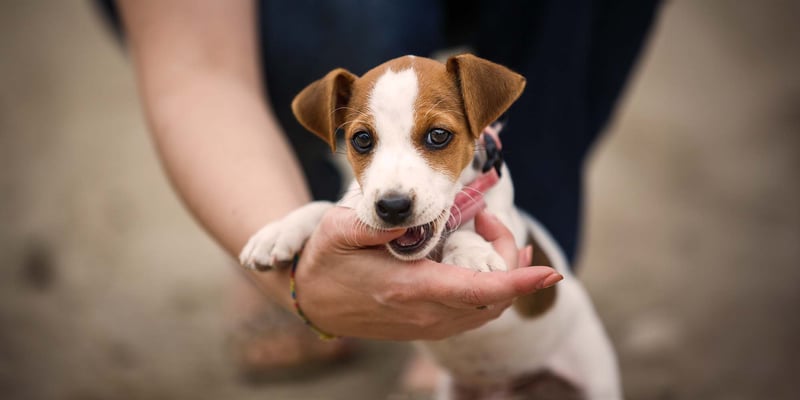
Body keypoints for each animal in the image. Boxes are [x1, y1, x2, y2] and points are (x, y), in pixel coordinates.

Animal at [241, 54, 620, 400]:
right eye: (361, 139)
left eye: (438, 135)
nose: (392, 206)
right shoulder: (355, 208)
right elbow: (323, 208)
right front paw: (278, 232)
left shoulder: (506, 227)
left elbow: (470, 228)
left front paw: (470, 255)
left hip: (597, 380)